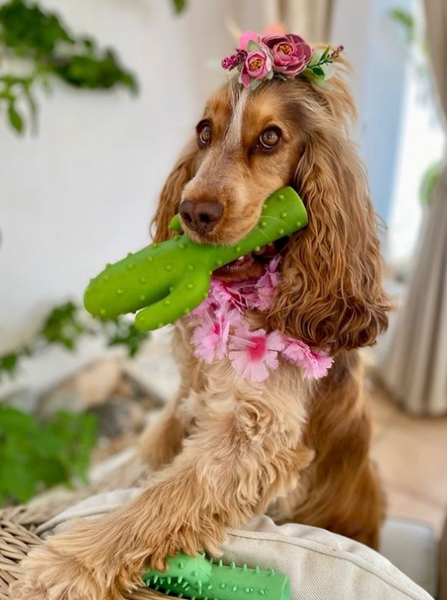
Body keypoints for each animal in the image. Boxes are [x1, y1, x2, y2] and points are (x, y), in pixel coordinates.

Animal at [13, 49, 392, 600]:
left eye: (270, 137)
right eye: (204, 131)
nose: (194, 212)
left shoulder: (255, 438)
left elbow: (161, 498)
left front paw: (65, 566)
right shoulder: (187, 398)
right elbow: (129, 469)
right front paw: (48, 507)